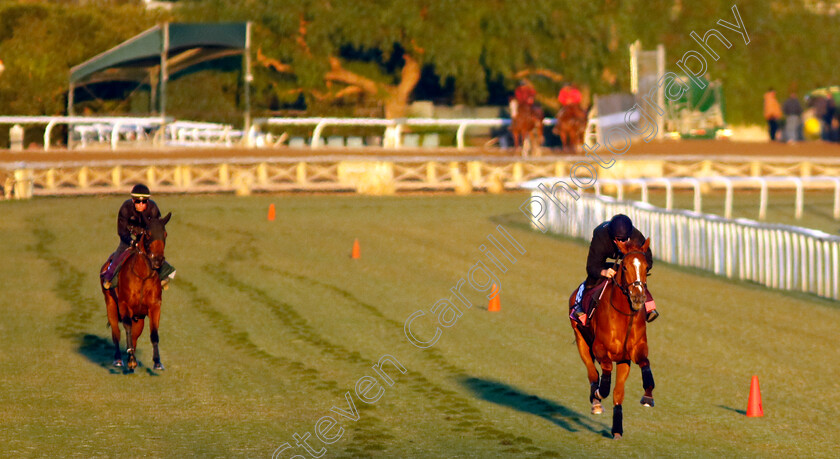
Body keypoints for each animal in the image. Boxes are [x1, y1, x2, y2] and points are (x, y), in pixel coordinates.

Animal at [99, 214, 170, 372]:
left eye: (165, 234)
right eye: (148, 234)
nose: (158, 260)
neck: (142, 276)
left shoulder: (155, 306)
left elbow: (154, 333)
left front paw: (157, 362)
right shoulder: (124, 305)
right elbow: (127, 327)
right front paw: (131, 360)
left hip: (139, 318)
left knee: (135, 336)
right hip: (111, 305)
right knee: (116, 333)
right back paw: (119, 359)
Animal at [572, 239, 656, 440]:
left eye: (646, 267)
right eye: (624, 267)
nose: (638, 297)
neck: (624, 316)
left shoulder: (632, 353)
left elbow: (644, 365)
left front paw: (648, 396)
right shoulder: (600, 348)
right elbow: (605, 373)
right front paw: (599, 392)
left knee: (617, 391)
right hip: (580, 340)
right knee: (592, 373)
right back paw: (596, 401)